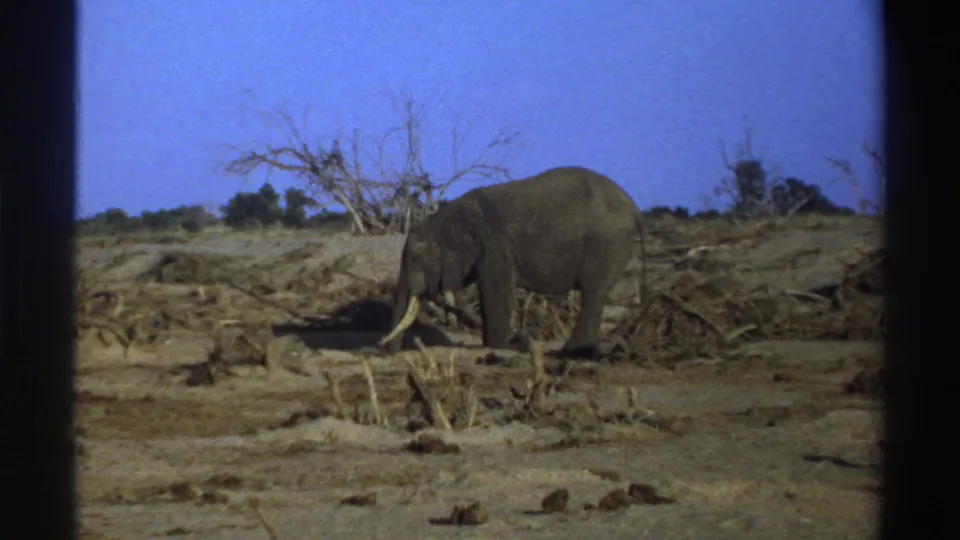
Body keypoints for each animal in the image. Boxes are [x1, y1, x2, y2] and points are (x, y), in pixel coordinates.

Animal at [379, 166, 647, 359]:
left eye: (416, 258)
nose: (386, 352)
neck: (444, 218)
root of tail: (635, 210)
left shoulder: (496, 246)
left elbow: (497, 289)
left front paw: (501, 345)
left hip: (605, 243)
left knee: (593, 292)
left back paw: (571, 352)